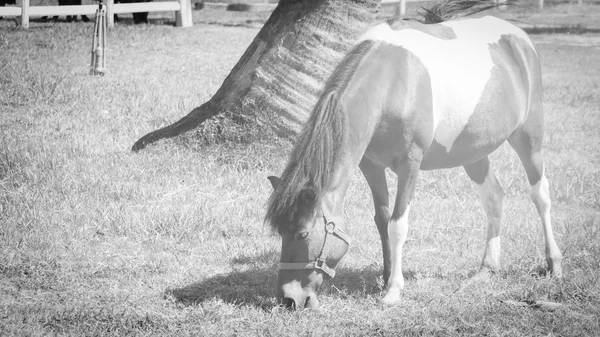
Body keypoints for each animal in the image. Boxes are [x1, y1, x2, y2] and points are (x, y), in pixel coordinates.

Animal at [266, 1, 564, 310]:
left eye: (302, 233)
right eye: (279, 232)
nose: (288, 299)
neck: (390, 84)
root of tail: (520, 38)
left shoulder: (410, 164)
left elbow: (398, 225)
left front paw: (393, 290)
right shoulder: (370, 166)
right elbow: (382, 220)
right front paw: (386, 277)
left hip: (529, 139)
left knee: (541, 195)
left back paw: (554, 264)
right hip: (473, 155)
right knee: (494, 197)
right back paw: (487, 268)